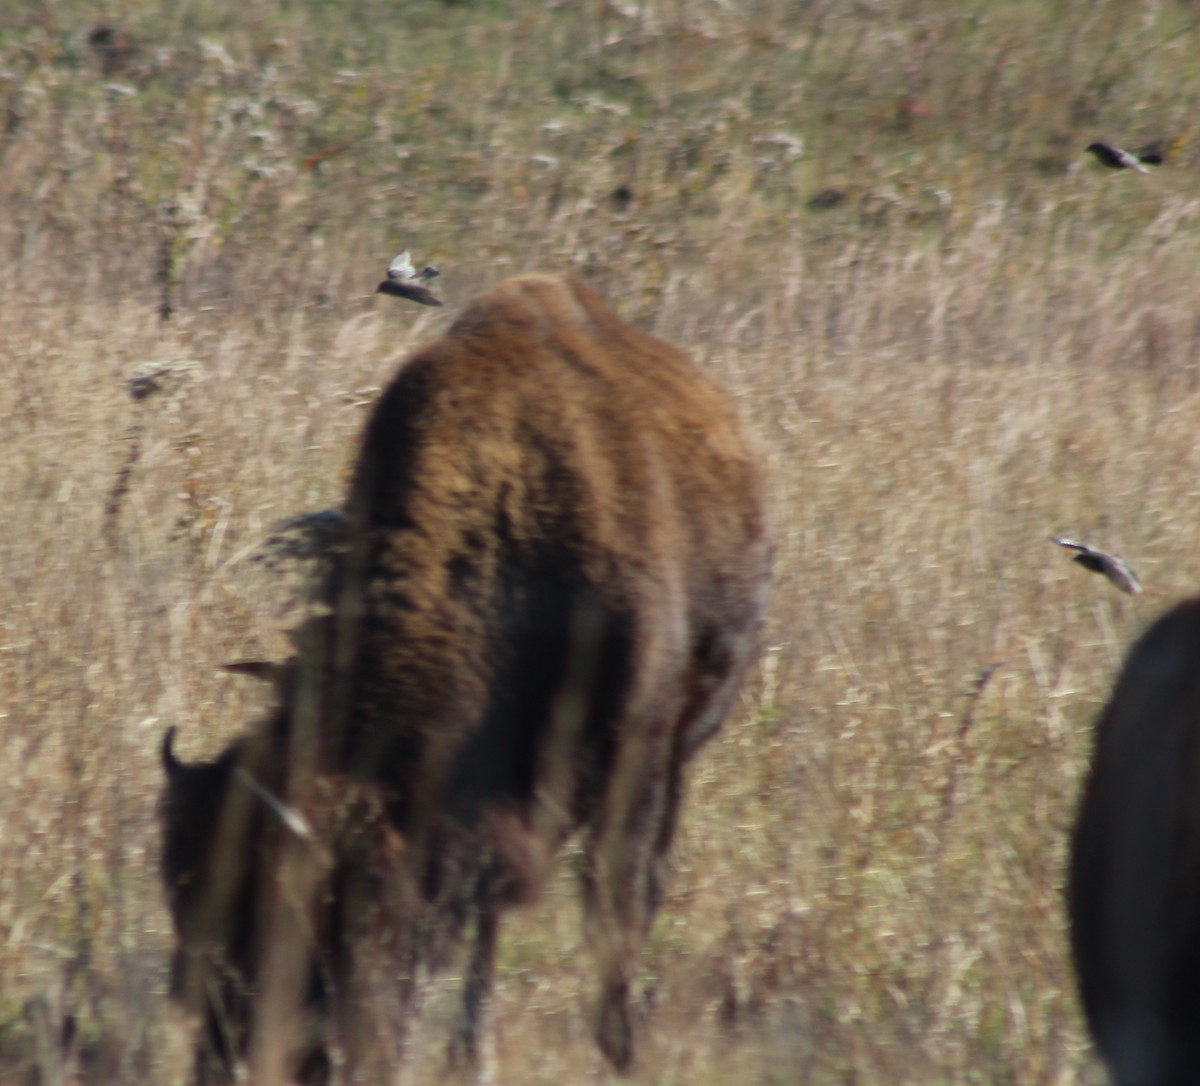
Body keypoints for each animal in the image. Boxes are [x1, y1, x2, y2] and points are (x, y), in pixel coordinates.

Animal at [159, 276, 772, 1080]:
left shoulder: (634, 761)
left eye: (301, 903)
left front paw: (620, 1051)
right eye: (180, 897)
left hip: (683, 744)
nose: (223, 1048)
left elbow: (613, 910)